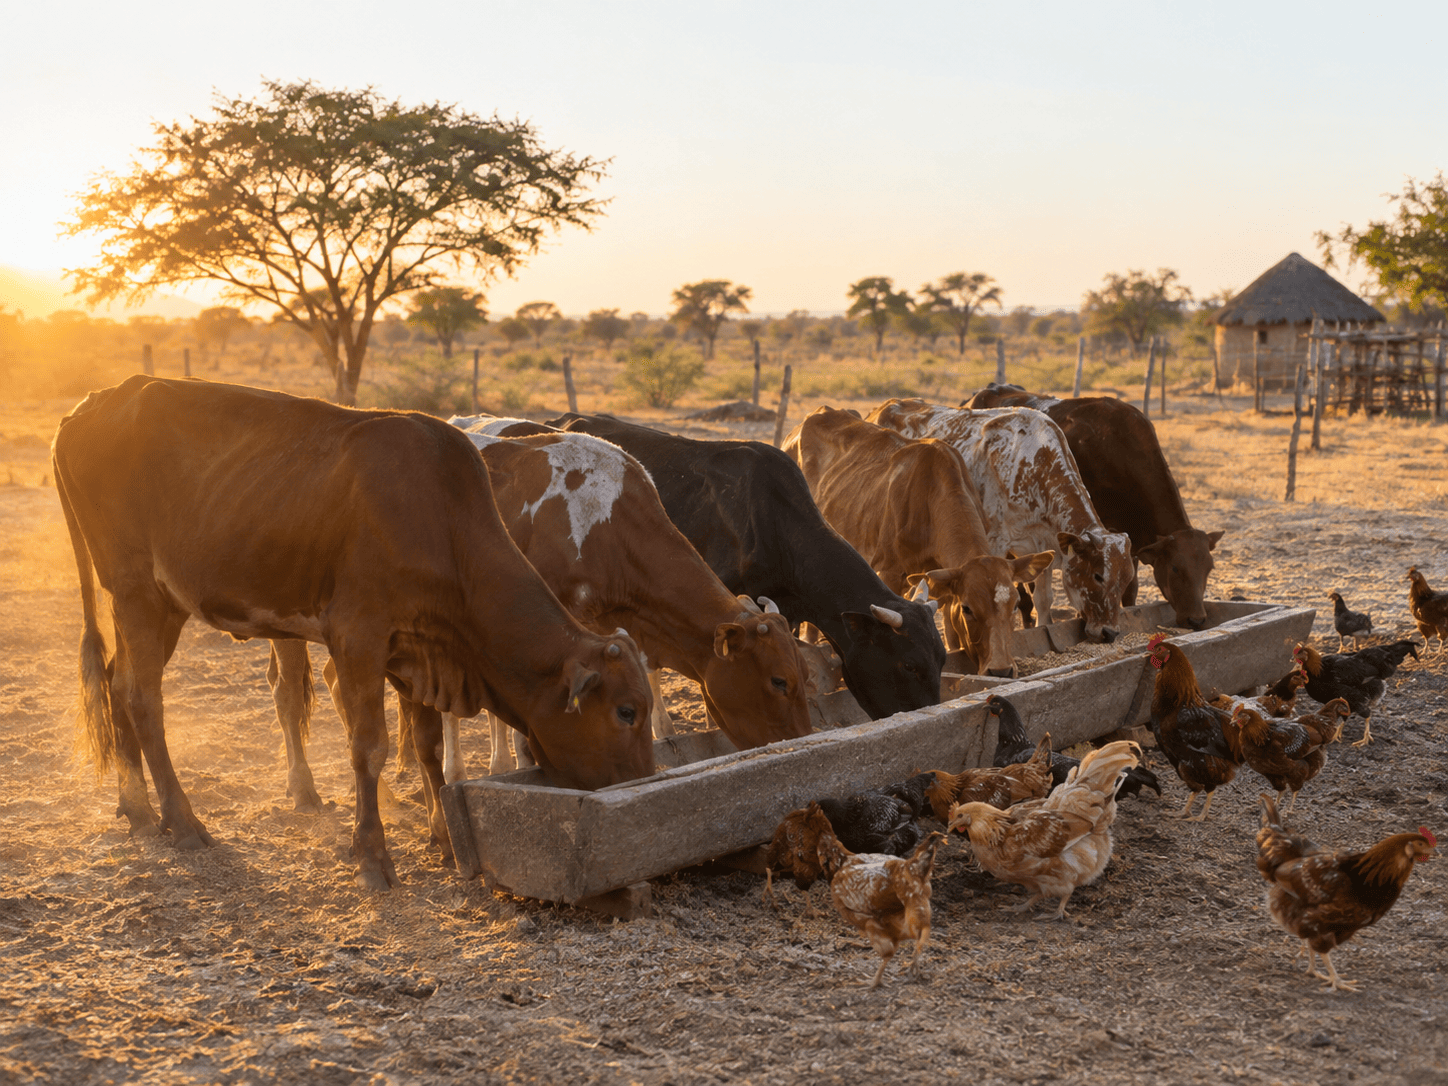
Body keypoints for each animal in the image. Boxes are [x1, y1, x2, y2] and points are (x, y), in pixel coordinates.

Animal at [52, 376, 653, 891]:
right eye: (626, 711)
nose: (642, 784)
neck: (438, 519)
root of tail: (94, 403)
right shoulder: (358, 637)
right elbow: (369, 747)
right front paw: (372, 854)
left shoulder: (419, 650)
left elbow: (429, 746)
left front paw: (443, 836)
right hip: (136, 591)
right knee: (140, 696)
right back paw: (181, 819)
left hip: (159, 604)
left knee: (117, 681)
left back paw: (137, 808)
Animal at [867, 399, 1135, 643]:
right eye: (1098, 576)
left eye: (1127, 578)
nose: (1109, 632)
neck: (1032, 463)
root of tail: (881, 408)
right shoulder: (996, 542)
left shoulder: (1042, 544)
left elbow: (1043, 600)